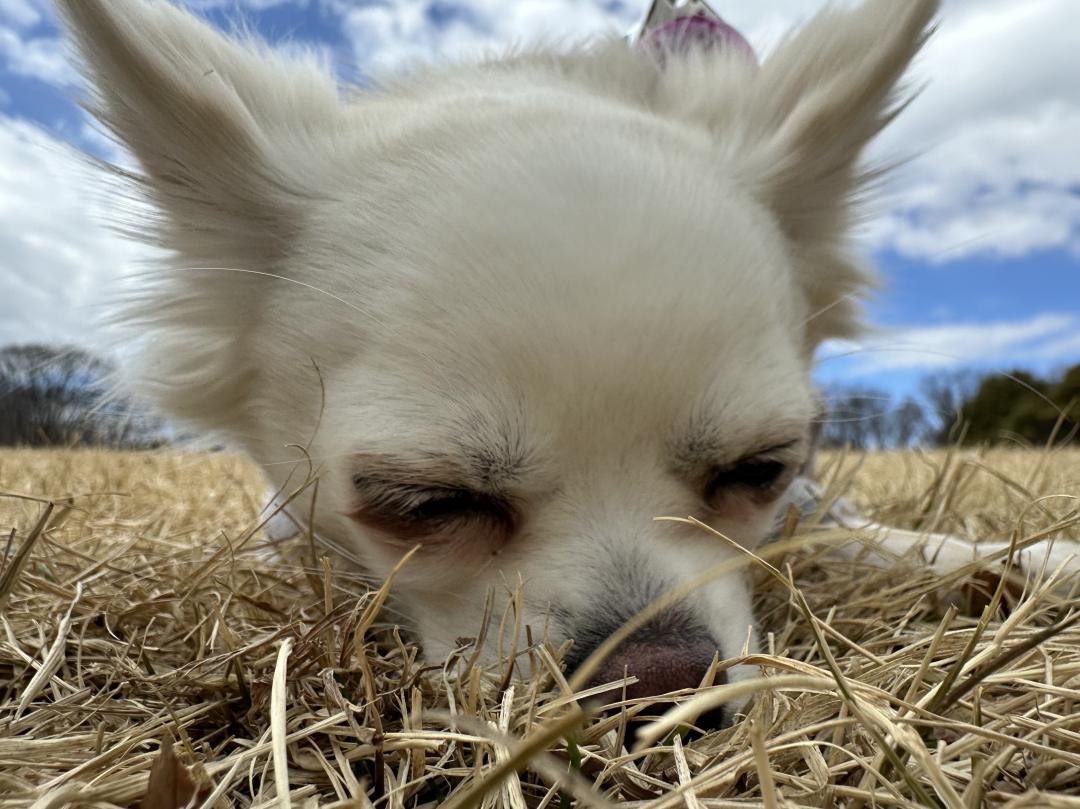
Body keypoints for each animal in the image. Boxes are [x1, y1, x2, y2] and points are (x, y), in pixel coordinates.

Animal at [56, 0, 1071, 717]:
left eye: (760, 470)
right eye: (426, 504)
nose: (658, 677)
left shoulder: (807, 501)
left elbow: (857, 532)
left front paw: (1020, 556)